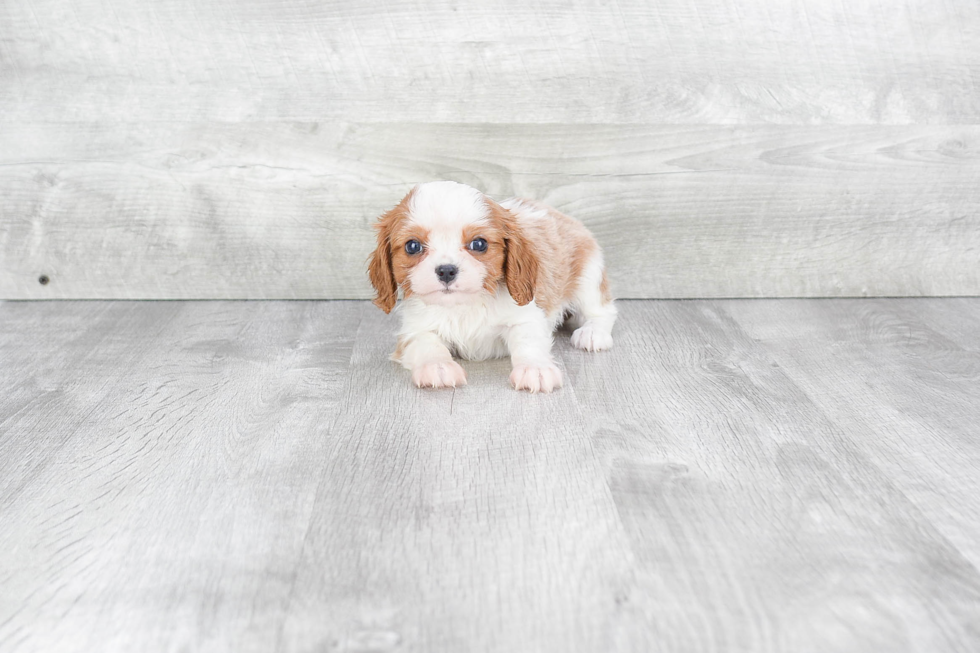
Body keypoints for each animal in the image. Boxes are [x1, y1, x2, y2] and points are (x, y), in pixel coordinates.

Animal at [368, 180, 612, 392]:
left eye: (479, 244)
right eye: (412, 246)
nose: (446, 270)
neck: (463, 305)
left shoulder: (525, 317)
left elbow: (528, 340)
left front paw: (535, 368)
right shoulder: (414, 330)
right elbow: (426, 344)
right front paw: (437, 366)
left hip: (587, 276)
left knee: (603, 311)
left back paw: (592, 332)